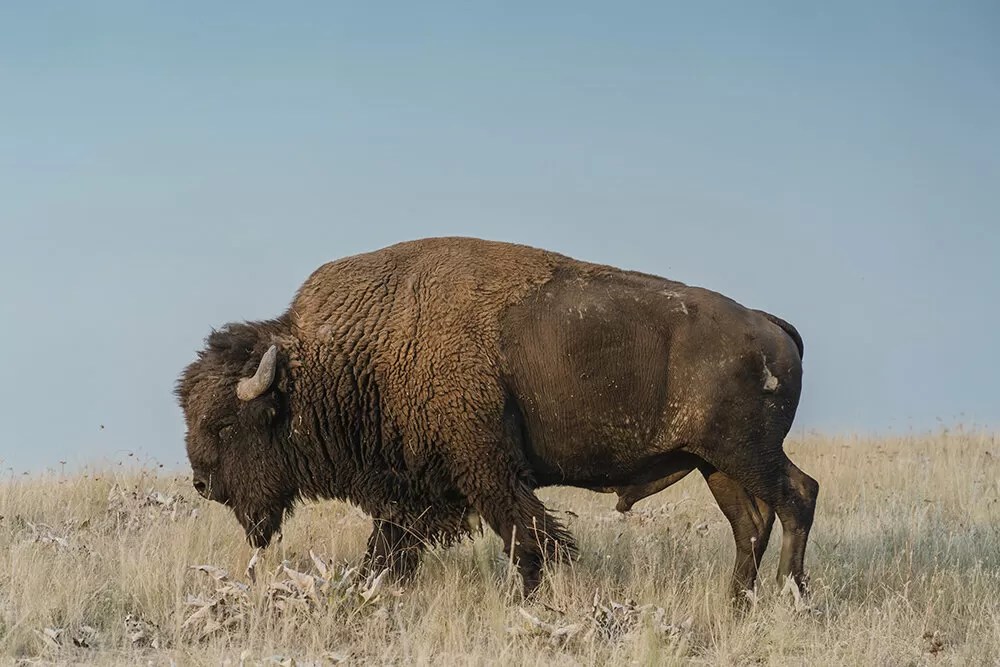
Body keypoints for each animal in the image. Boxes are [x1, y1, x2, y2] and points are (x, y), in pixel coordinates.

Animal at [176, 237, 816, 600]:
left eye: (227, 424)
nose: (204, 484)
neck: (353, 354)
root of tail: (768, 324)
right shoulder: (412, 491)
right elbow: (390, 549)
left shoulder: (486, 469)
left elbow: (527, 537)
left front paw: (528, 601)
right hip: (717, 465)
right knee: (750, 523)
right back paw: (736, 603)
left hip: (747, 454)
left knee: (797, 498)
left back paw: (791, 595)